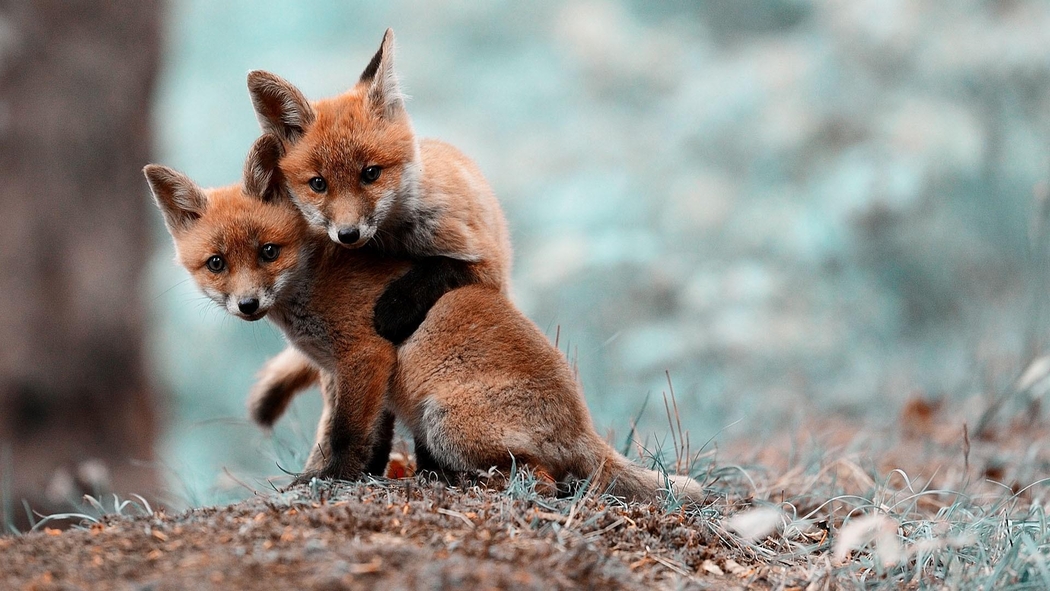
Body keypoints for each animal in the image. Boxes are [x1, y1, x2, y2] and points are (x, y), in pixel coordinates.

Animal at [143, 135, 705, 503]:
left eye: (268, 252)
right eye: (217, 263)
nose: (247, 305)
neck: (312, 281)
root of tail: (582, 423)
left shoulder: (366, 355)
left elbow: (344, 436)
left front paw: (325, 482)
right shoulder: (341, 373)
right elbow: (359, 437)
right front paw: (346, 476)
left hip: (444, 422)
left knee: (546, 480)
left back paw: (469, 483)